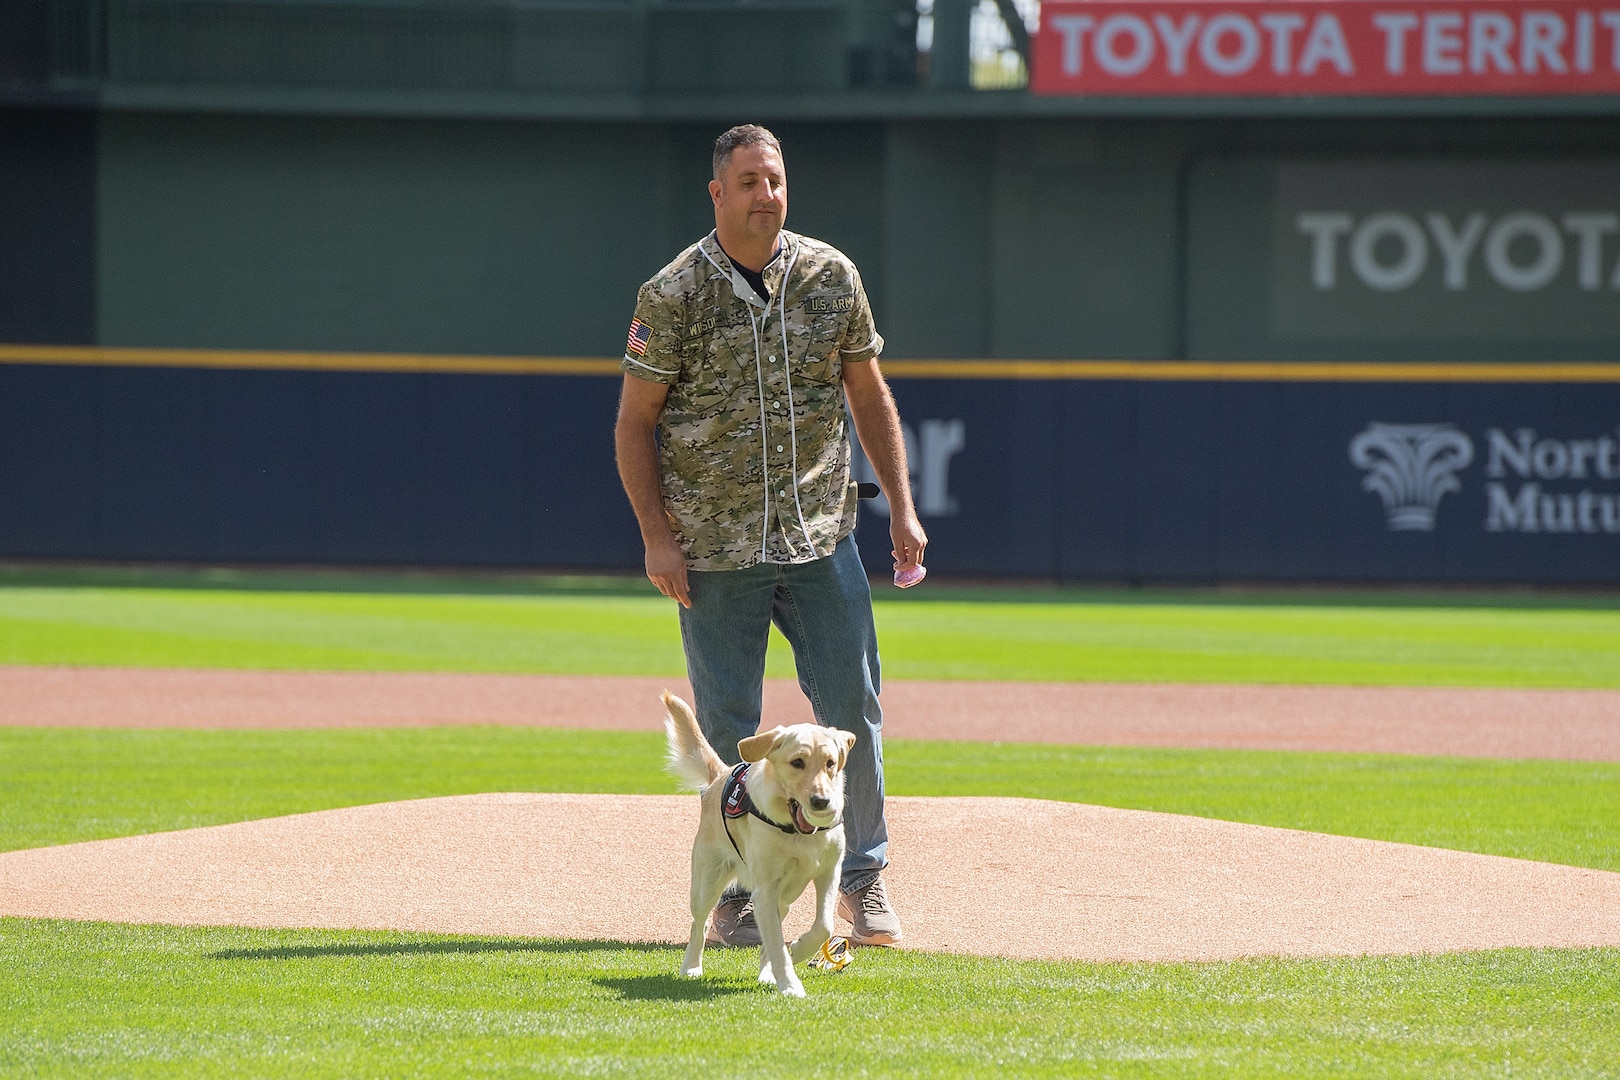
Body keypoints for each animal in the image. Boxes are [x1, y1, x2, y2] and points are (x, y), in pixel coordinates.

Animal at [660, 693, 855, 997]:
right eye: (797, 762)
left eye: (830, 763)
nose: (821, 802)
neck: (796, 832)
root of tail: (721, 774)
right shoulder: (765, 889)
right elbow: (776, 945)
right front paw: (790, 986)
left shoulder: (828, 873)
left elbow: (823, 926)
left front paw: (799, 950)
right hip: (707, 883)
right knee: (699, 924)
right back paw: (691, 967)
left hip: (784, 898)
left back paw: (767, 974)